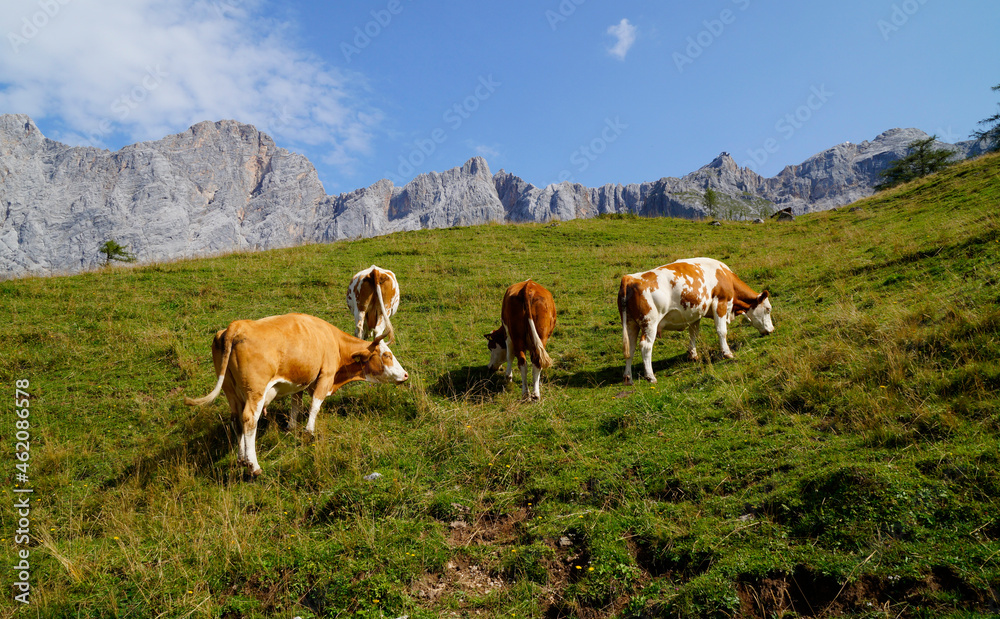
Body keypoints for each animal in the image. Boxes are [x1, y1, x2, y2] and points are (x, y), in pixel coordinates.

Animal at [184, 313, 409, 476]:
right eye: (387, 355)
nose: (405, 375)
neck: (333, 341)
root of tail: (237, 326)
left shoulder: (299, 382)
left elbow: (296, 405)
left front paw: (291, 427)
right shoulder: (325, 376)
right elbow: (315, 405)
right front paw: (308, 432)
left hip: (231, 392)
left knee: (236, 420)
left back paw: (241, 459)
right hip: (255, 392)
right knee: (249, 420)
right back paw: (253, 466)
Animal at [618, 257, 774, 385]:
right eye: (768, 309)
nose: (772, 330)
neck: (725, 276)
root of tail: (630, 278)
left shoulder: (695, 313)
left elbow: (693, 333)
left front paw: (693, 355)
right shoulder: (721, 303)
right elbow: (721, 331)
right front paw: (727, 353)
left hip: (630, 324)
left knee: (630, 348)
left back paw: (628, 377)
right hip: (650, 323)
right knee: (645, 346)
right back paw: (650, 376)